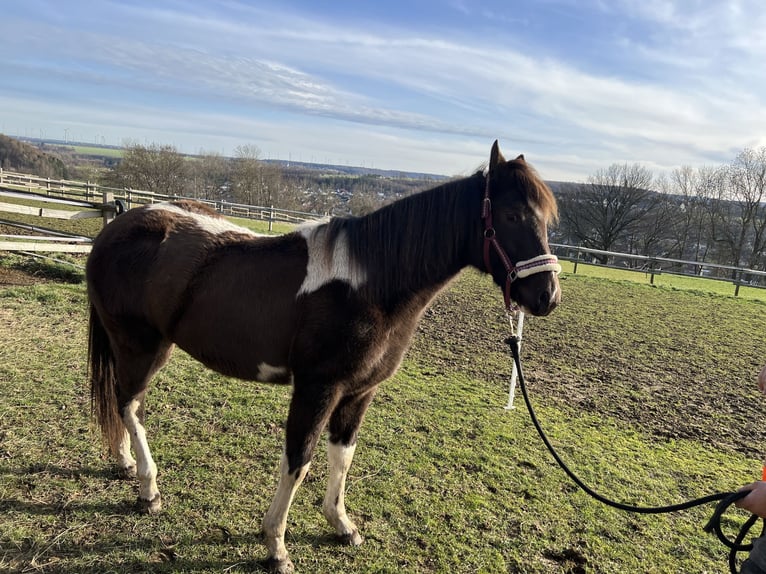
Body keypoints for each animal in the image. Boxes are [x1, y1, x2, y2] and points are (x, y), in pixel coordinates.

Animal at [86, 141, 561, 573]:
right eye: (512, 215)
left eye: (546, 219)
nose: (547, 296)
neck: (371, 286)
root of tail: (118, 226)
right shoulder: (317, 389)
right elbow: (299, 460)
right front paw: (276, 546)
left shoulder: (359, 392)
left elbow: (342, 456)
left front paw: (342, 525)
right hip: (140, 346)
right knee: (129, 405)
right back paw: (149, 490)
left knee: (124, 404)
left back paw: (126, 464)